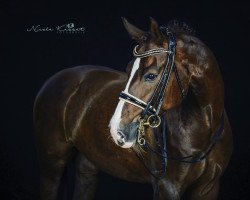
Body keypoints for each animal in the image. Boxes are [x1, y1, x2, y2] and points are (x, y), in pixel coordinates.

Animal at [32, 18, 232, 199]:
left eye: (151, 75)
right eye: (128, 69)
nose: (116, 130)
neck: (205, 125)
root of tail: (55, 79)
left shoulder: (208, 187)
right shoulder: (167, 188)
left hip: (88, 163)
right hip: (52, 162)